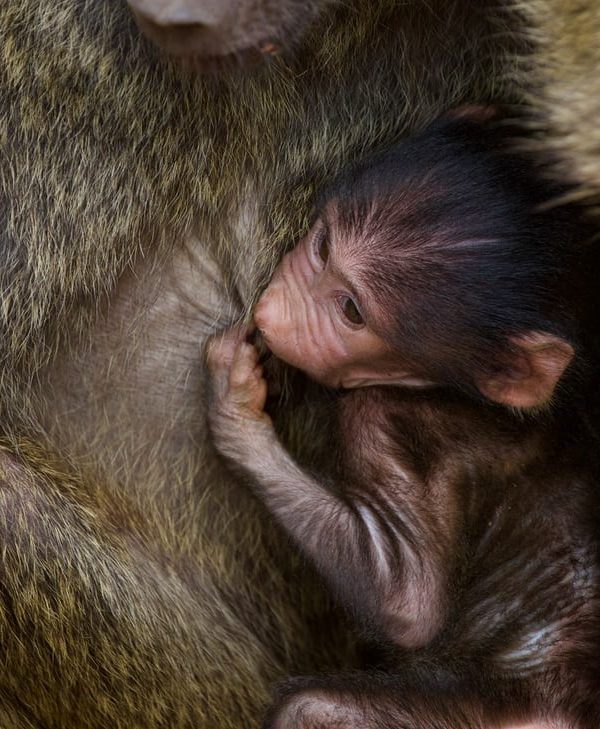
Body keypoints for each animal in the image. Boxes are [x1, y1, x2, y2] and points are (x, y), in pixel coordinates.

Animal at [206, 113, 600, 729]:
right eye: (322, 247)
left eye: (351, 311)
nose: (269, 313)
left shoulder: (384, 417)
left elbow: (408, 605)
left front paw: (235, 404)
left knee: (312, 710)